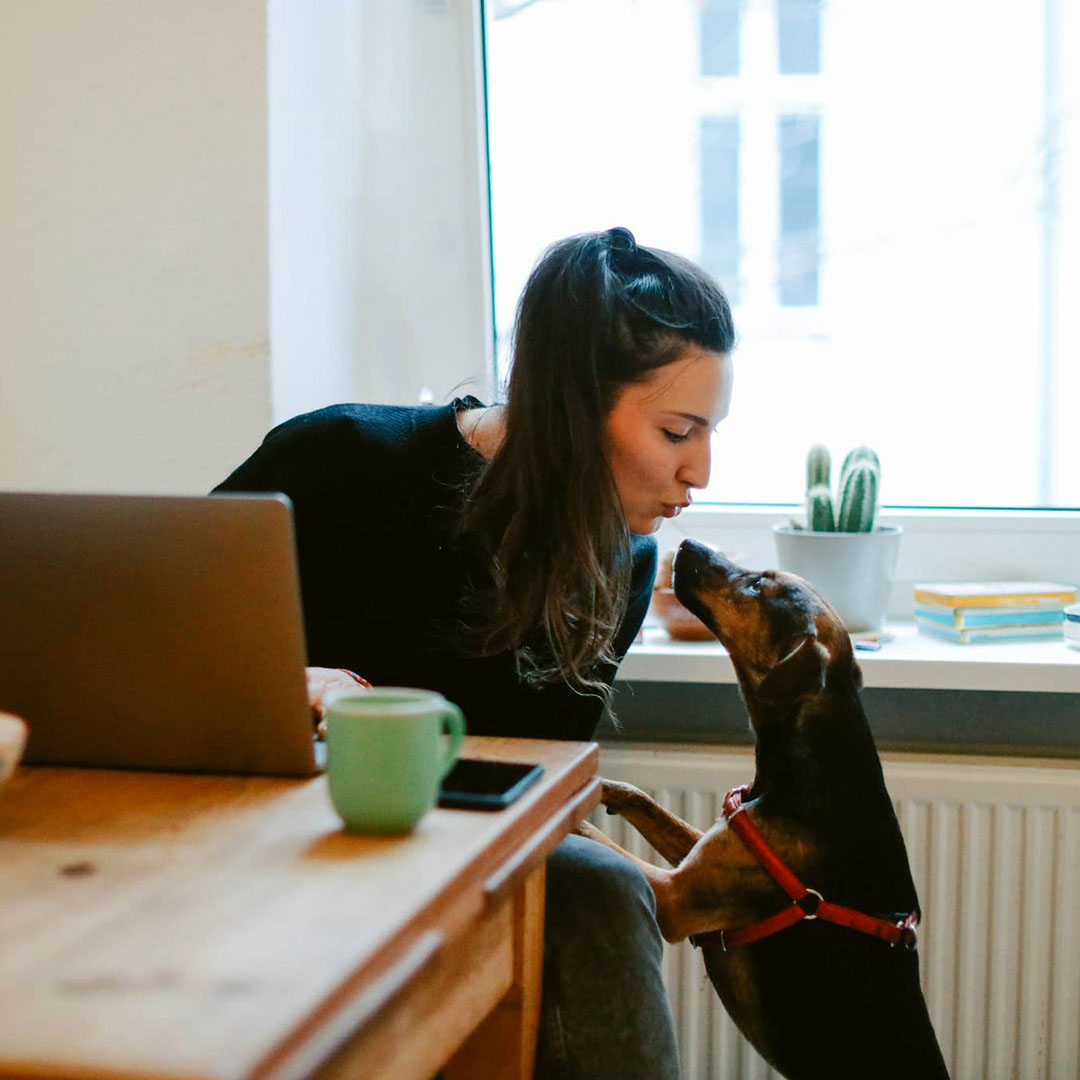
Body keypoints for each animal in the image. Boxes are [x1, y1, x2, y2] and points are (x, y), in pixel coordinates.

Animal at [583, 540, 946, 1080]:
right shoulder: (713, 846)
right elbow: (643, 801)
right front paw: (599, 788)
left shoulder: (675, 898)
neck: (810, 763)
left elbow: (603, 843)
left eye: (756, 586)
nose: (686, 544)